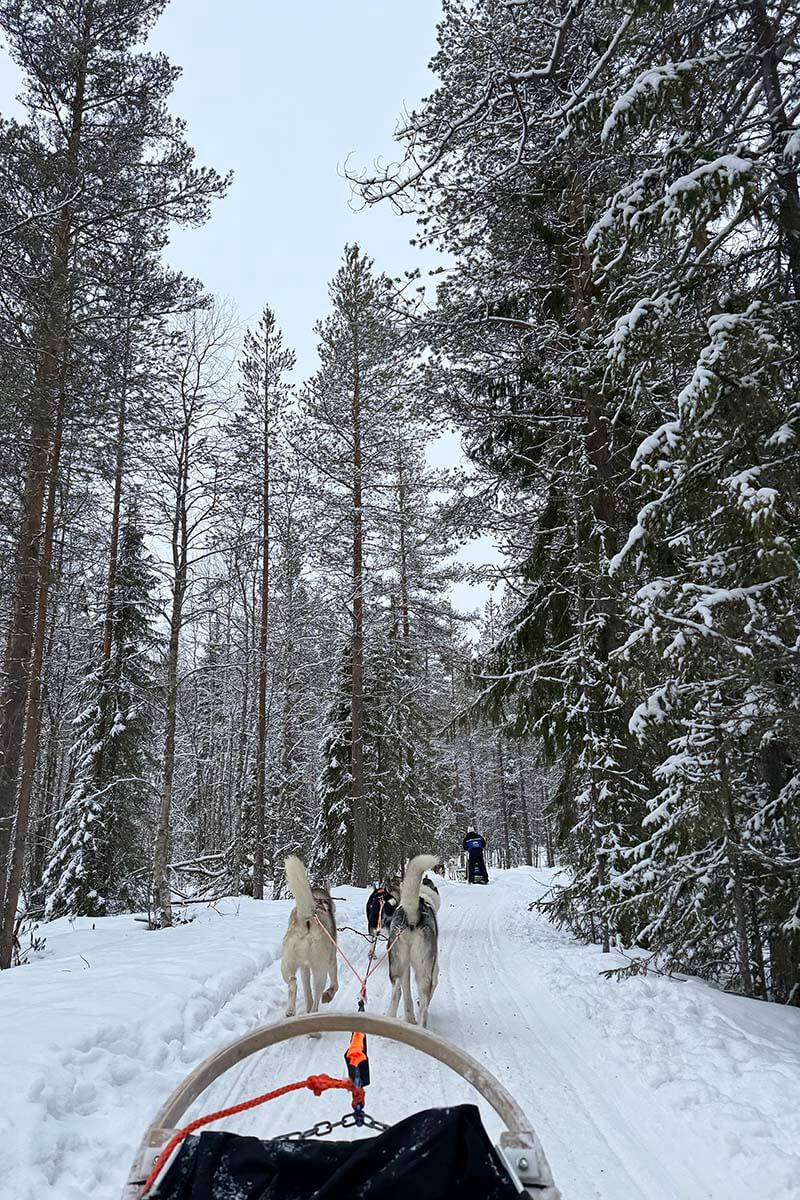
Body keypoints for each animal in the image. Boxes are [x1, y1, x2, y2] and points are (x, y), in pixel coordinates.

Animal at [281, 859, 338, 1017]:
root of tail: (308, 918)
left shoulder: (304, 968)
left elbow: (307, 991)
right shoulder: (332, 958)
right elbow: (335, 984)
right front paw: (329, 995)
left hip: (287, 964)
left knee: (293, 982)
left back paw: (290, 1011)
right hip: (320, 969)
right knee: (318, 994)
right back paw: (314, 1013)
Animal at [386, 854, 441, 1032]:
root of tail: (411, 915)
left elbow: (406, 994)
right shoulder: (434, 968)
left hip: (397, 967)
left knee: (397, 992)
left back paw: (400, 1019)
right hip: (424, 972)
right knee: (424, 1003)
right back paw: (422, 1026)